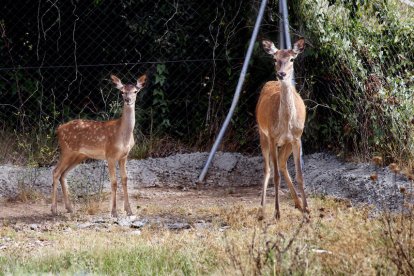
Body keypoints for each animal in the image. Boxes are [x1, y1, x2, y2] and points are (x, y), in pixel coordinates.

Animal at [51, 74, 146, 217]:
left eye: (135, 91)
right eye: (122, 91)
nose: (128, 100)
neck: (123, 135)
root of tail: (59, 129)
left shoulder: (124, 156)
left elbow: (125, 179)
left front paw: (129, 210)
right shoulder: (110, 155)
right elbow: (114, 182)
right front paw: (114, 212)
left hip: (79, 155)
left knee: (63, 174)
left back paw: (70, 208)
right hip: (66, 150)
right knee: (56, 172)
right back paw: (54, 209)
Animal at [258, 38, 308, 220]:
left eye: (292, 59)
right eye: (275, 58)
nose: (281, 74)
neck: (286, 124)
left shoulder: (297, 137)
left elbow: (300, 174)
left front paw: (308, 210)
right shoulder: (273, 137)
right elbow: (276, 177)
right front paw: (277, 213)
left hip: (286, 143)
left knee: (281, 163)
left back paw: (299, 205)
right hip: (262, 134)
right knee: (268, 169)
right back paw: (262, 209)